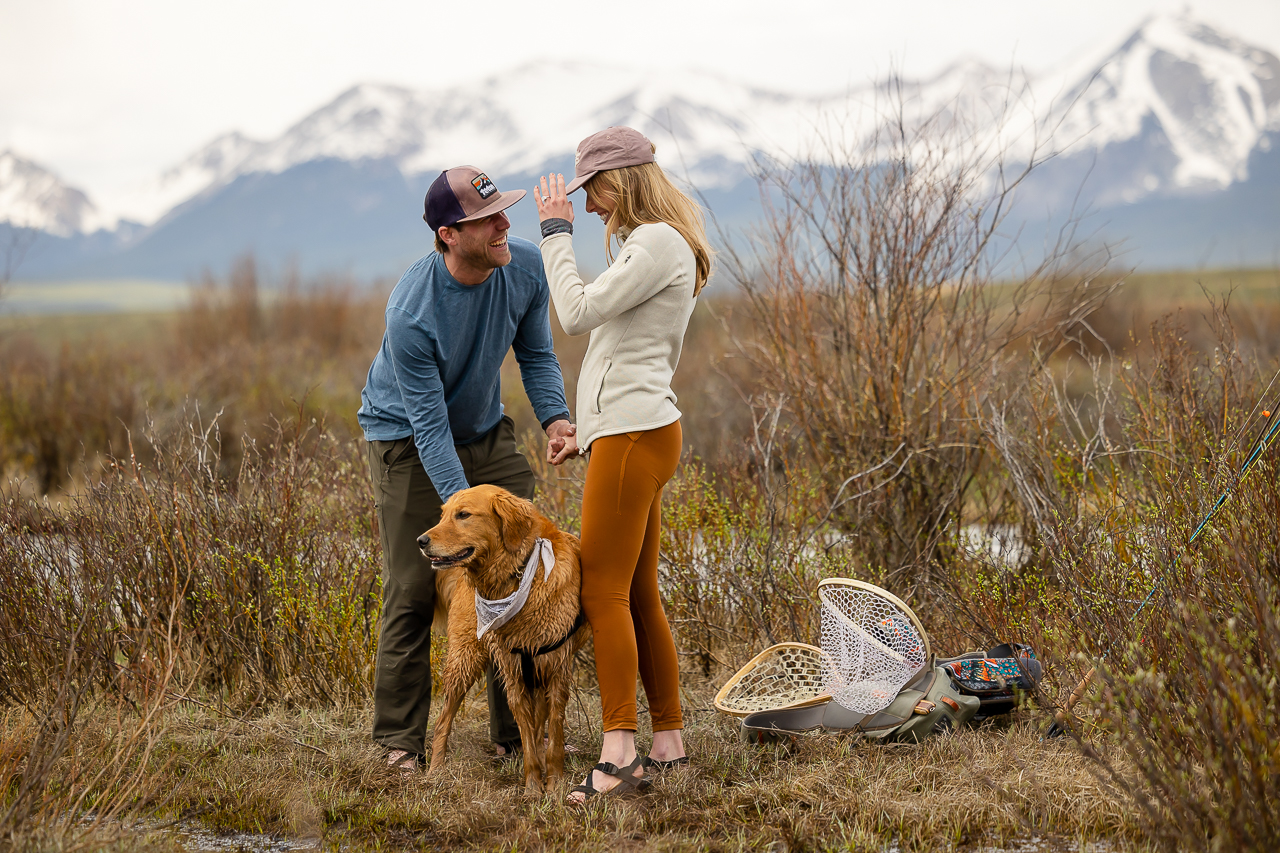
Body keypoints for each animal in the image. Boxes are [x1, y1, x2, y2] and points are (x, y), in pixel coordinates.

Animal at [417, 484, 586, 788]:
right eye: (444, 514)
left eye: (463, 515)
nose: (421, 541)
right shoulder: (514, 672)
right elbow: (528, 736)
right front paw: (533, 787)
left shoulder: (556, 669)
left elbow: (552, 734)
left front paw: (554, 783)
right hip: (464, 659)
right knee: (442, 721)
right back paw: (435, 771)